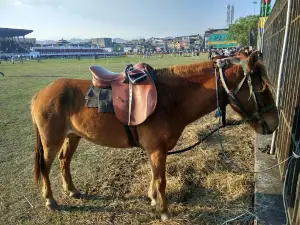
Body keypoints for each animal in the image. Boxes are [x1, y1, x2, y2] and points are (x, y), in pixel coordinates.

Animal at [31, 50, 278, 220]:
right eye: (262, 89)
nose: (274, 122)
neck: (169, 98)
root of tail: (40, 94)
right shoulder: (158, 151)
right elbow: (161, 181)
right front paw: (164, 211)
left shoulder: (155, 151)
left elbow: (154, 177)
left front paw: (152, 199)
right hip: (51, 141)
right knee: (45, 167)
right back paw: (50, 200)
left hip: (73, 136)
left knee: (64, 161)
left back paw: (72, 190)